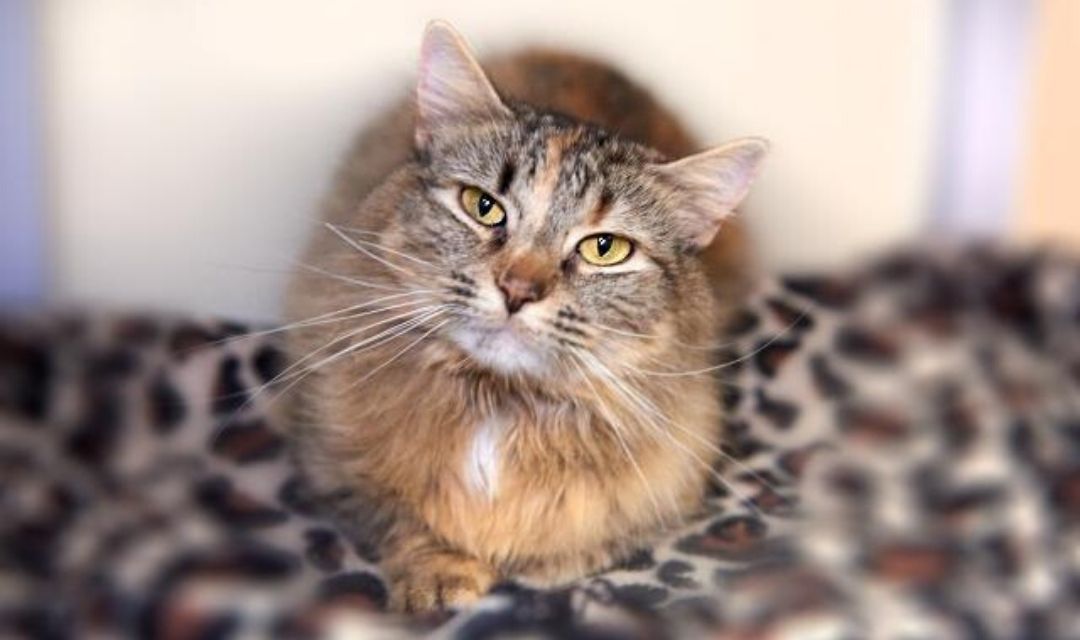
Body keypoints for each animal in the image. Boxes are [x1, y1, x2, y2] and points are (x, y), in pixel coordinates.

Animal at [282, 19, 764, 613]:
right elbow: (401, 521)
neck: (501, 405)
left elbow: (589, 543)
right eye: (482, 206)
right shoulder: (330, 464)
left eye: (605, 249)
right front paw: (438, 578)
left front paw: (541, 567)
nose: (517, 290)